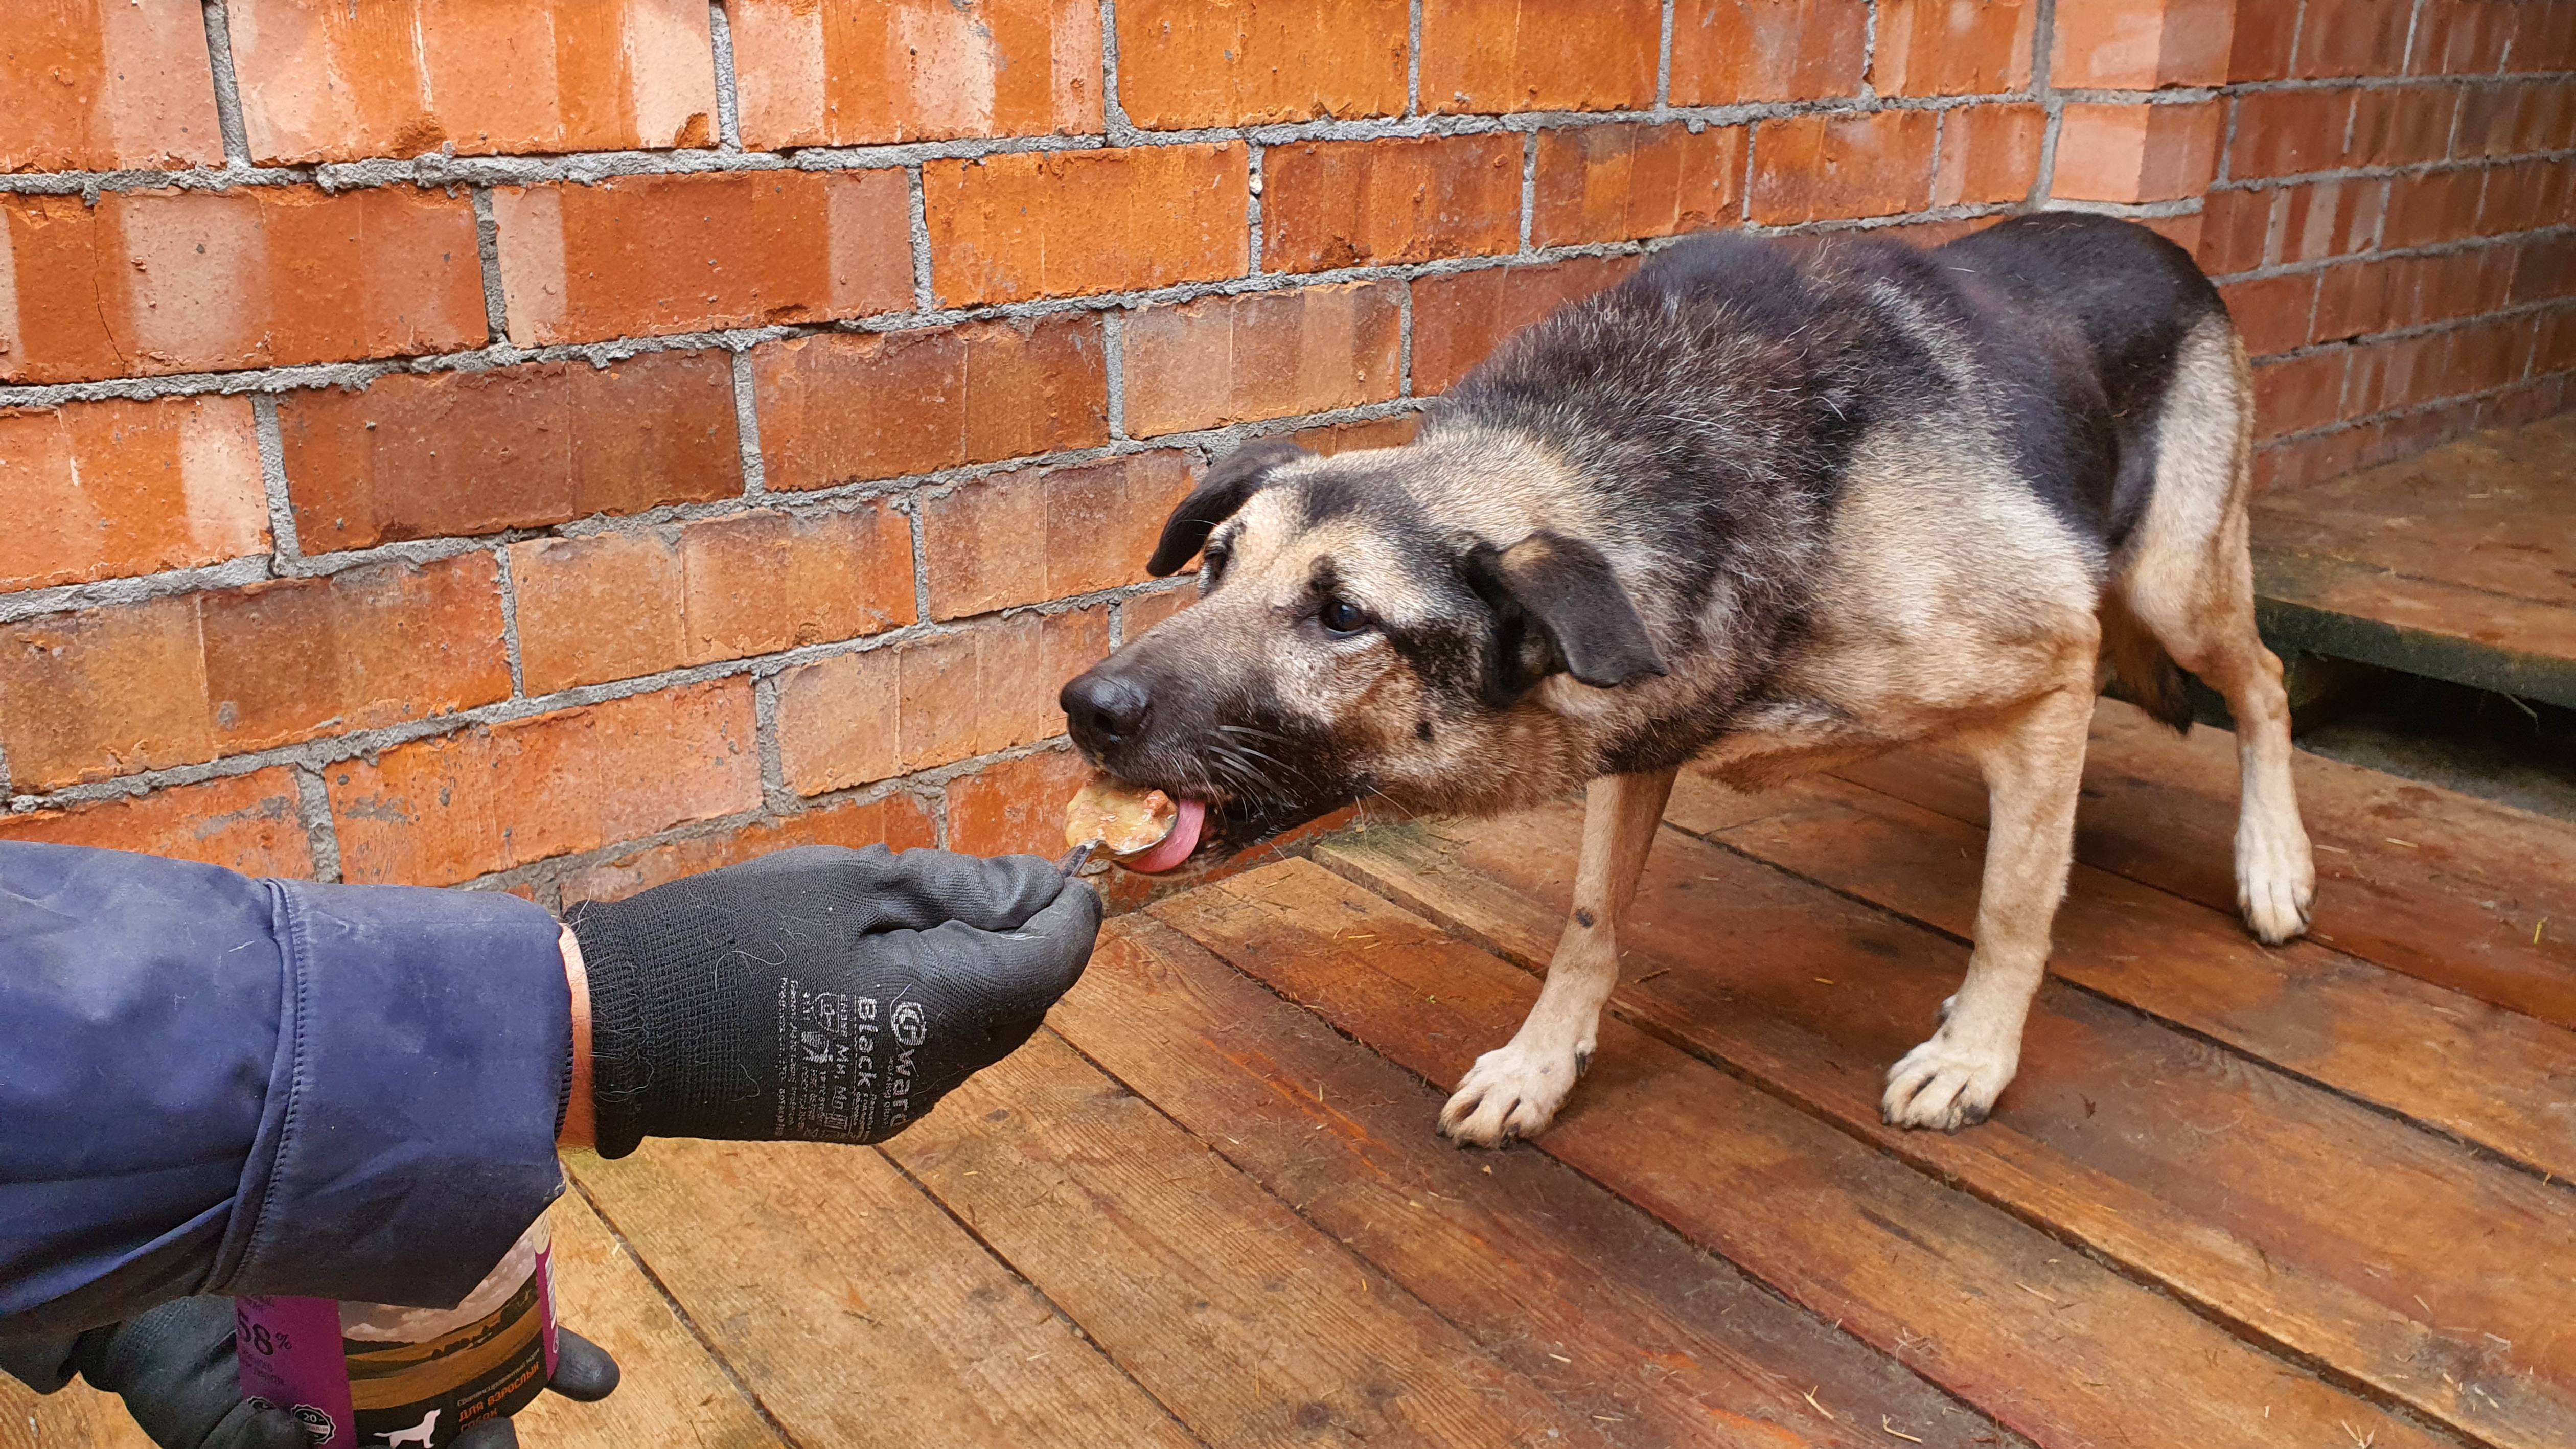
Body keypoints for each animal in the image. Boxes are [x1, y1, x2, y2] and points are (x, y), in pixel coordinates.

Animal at [1061, 214, 2318, 1139]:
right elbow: (1588, 920)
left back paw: (2272, 864)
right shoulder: (1640, 739)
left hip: (2171, 586)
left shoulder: (2053, 671)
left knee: (2263, 679)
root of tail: (2164, 247)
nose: (1086, 710)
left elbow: (2011, 910)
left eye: (1342, 616)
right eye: (1215, 566)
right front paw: (1540, 1065)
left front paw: (1976, 1051)